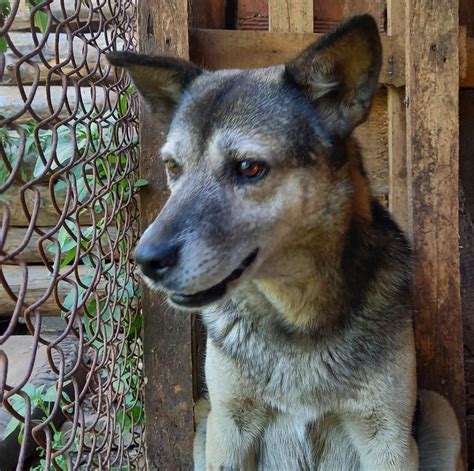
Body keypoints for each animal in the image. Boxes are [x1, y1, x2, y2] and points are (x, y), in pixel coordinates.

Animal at [109, 14, 462, 471]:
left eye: (249, 167)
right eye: (172, 166)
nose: (147, 260)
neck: (297, 317)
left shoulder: (387, 438)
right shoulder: (228, 426)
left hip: (440, 409)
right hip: (204, 420)